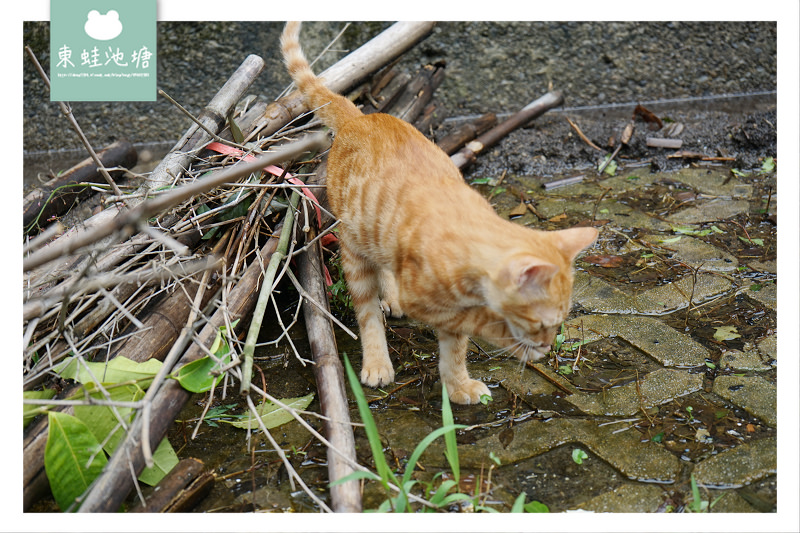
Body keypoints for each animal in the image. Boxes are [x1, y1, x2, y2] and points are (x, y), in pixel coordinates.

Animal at [282, 21, 600, 404]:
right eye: (543, 324)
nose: (549, 344)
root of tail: (362, 116)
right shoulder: (425, 299)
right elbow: (472, 322)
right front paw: (516, 344)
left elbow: (456, 346)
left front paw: (458, 386)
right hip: (354, 248)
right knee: (367, 310)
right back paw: (377, 362)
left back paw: (390, 299)